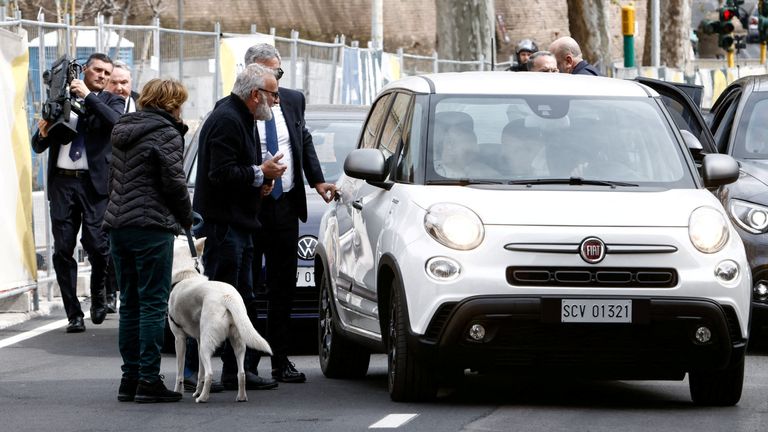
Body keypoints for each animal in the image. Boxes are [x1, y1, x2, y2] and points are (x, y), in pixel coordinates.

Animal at [169, 236, 272, 402]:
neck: (187, 275)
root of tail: (227, 297)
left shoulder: (179, 339)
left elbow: (180, 374)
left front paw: (178, 392)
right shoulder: (198, 340)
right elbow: (200, 373)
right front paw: (196, 391)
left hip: (206, 345)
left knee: (210, 374)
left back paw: (203, 398)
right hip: (236, 343)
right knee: (241, 373)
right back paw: (240, 396)